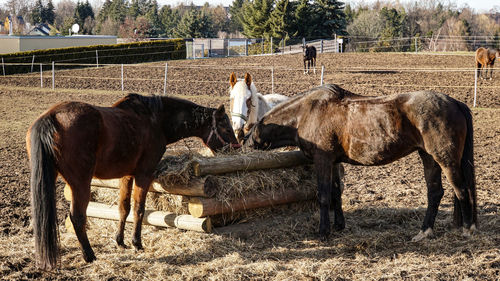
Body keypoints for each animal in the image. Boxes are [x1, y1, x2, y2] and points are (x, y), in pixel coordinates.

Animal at [26, 92, 241, 270]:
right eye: (226, 127)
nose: (237, 149)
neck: (155, 120)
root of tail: (51, 117)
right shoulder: (143, 174)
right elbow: (139, 209)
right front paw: (137, 242)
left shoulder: (127, 176)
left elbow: (124, 208)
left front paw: (120, 241)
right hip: (81, 184)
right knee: (78, 217)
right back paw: (89, 255)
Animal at [244, 83, 478, 241]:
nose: (245, 148)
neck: (307, 112)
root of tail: (455, 102)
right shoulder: (334, 162)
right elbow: (336, 194)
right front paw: (338, 226)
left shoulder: (323, 161)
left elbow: (324, 196)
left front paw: (323, 232)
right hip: (428, 157)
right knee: (435, 192)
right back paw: (424, 231)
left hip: (445, 159)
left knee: (461, 190)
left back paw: (467, 229)